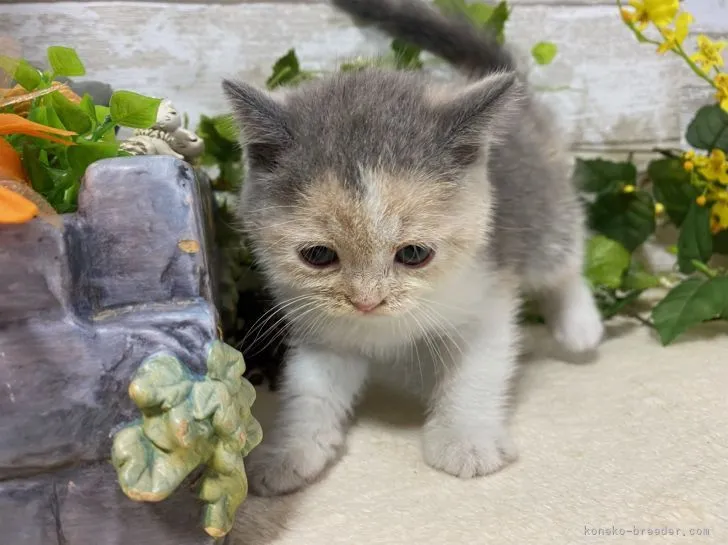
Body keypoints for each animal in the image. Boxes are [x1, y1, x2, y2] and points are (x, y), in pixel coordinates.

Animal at [223, 0, 604, 496]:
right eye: (318, 256)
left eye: (414, 255)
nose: (367, 301)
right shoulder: (322, 330)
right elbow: (311, 390)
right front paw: (290, 453)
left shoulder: (486, 296)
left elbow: (477, 372)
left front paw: (465, 439)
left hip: (542, 215)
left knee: (565, 257)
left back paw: (580, 326)